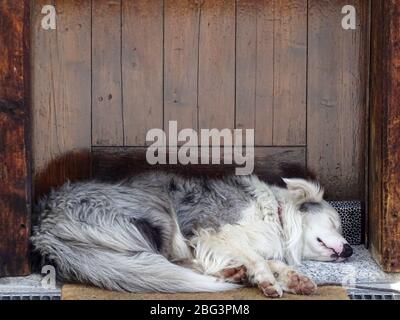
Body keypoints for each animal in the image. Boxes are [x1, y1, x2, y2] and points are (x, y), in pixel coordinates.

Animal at [32, 168, 354, 298]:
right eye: (335, 222)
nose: (351, 250)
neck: (275, 215)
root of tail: (43, 225)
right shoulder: (213, 232)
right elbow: (259, 259)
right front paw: (267, 281)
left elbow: (270, 260)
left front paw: (294, 279)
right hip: (158, 214)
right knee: (167, 264)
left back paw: (232, 274)